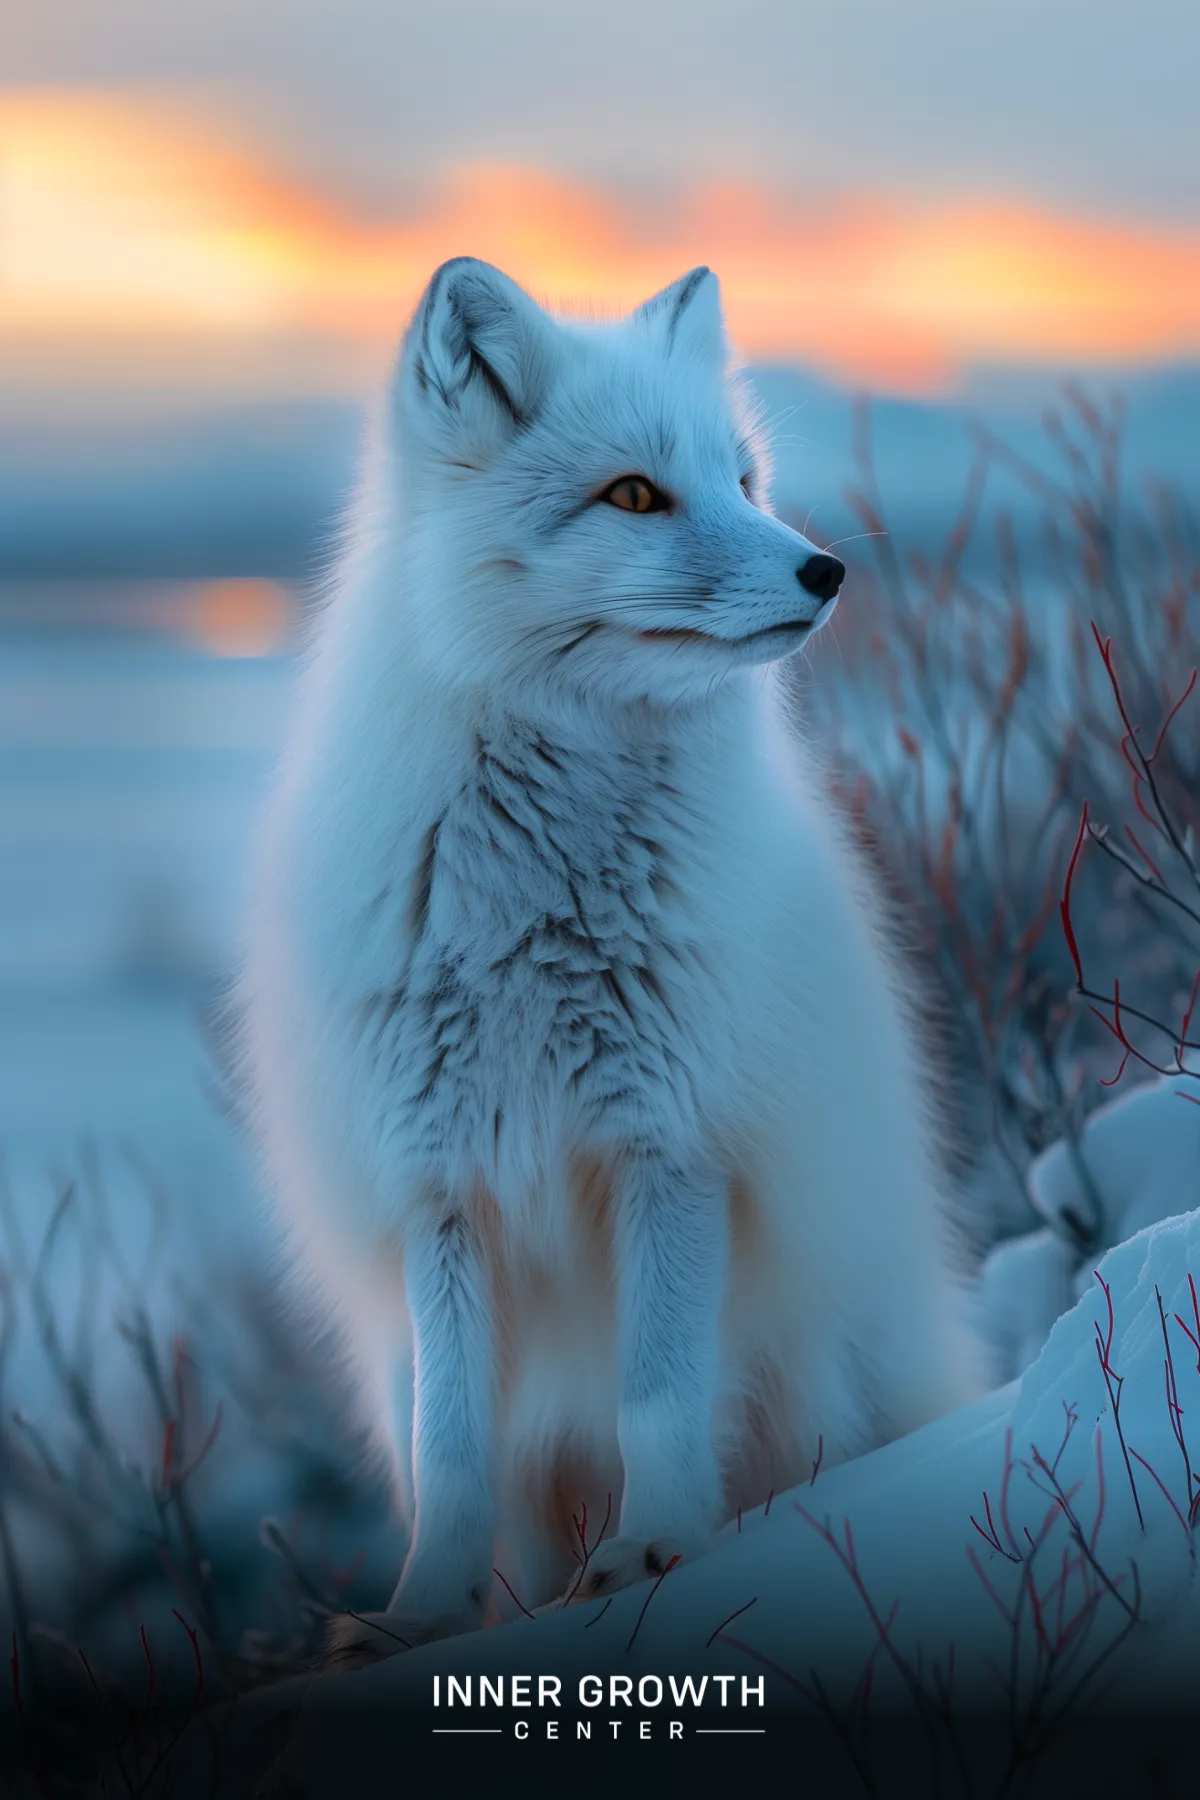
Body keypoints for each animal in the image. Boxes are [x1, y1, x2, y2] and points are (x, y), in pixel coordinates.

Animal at [237, 253, 985, 1656]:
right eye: (635, 493)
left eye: (742, 478)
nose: (827, 571)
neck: (536, 918)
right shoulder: (439, 1190)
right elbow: (454, 1450)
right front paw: (425, 1615)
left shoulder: (673, 1146)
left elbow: (660, 1395)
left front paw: (657, 1550)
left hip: (824, 1361)